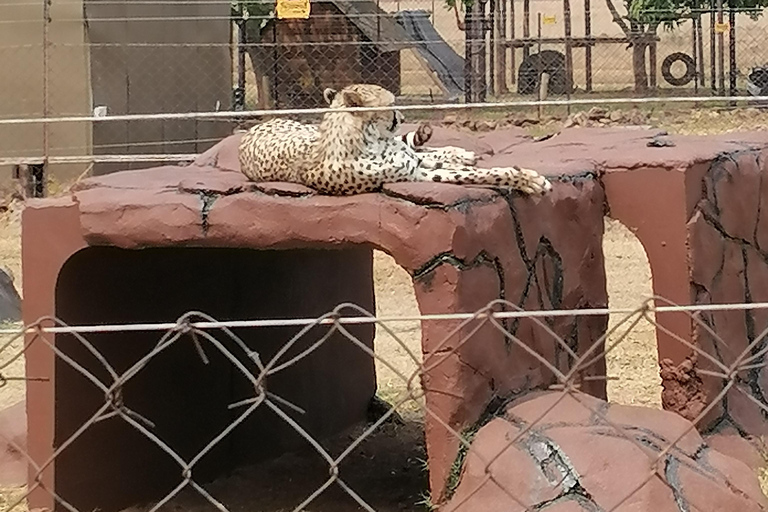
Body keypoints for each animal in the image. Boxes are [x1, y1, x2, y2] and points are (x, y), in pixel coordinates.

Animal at [240, 84, 552, 196]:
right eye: (391, 103)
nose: (401, 116)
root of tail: (255, 129)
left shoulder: (412, 164)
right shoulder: (416, 175)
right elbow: (477, 175)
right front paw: (527, 179)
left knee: (424, 150)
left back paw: (458, 151)